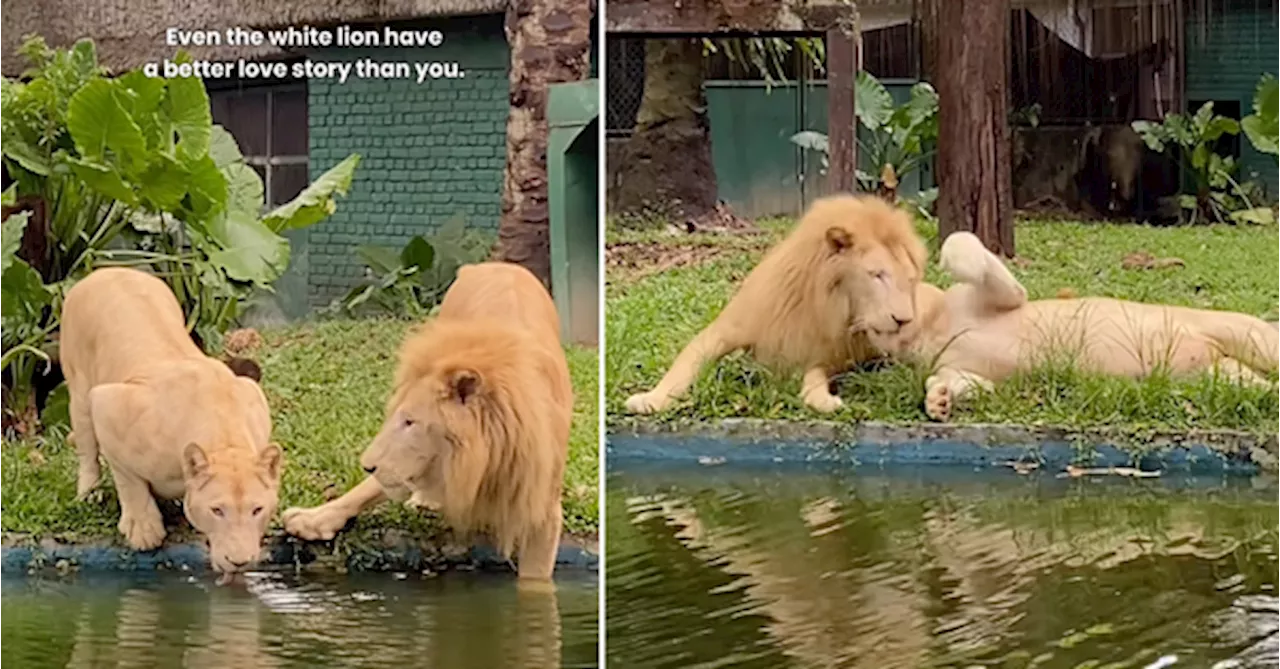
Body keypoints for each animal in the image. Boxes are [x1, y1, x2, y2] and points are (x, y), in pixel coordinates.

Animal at [61, 266, 280, 570]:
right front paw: (143, 529)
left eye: (257, 509)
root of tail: (105, 270)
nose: (239, 562)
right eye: (217, 510)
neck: (223, 438)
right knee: (87, 449)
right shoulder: (107, 402)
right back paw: (88, 494)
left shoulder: (252, 394)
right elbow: (128, 479)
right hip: (79, 389)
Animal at [288, 263, 578, 580]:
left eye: (410, 422)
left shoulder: (541, 506)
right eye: (396, 417)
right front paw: (310, 520)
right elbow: (371, 487)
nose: (367, 466)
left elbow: (535, 577)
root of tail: (492, 264)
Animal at [619, 191, 921, 414]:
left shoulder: (826, 353)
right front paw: (649, 400)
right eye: (877, 275)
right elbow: (684, 365)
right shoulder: (729, 327)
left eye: (910, 279)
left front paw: (822, 399)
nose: (905, 320)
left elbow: (815, 376)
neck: (827, 303)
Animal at [870, 230, 1280, 419]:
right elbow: (968, 381)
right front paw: (939, 400)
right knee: (1249, 382)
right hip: (1216, 371)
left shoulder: (981, 299)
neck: (929, 328)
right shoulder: (949, 361)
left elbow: (976, 257)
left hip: (1231, 328)